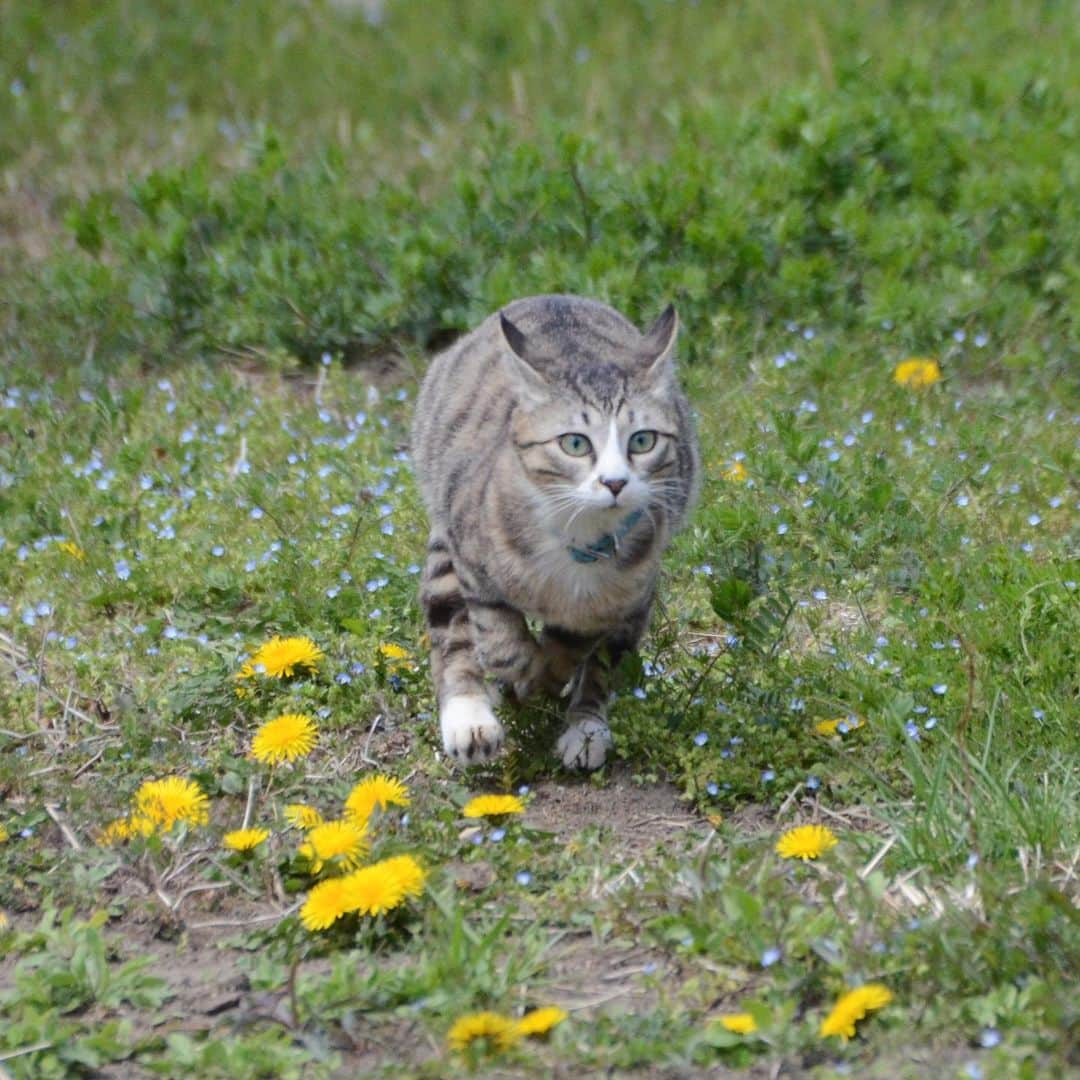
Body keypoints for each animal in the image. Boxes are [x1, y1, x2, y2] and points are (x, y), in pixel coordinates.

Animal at [410, 291, 699, 773]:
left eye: (642, 440)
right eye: (575, 443)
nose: (615, 482)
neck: (578, 537)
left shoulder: (623, 594)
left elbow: (578, 649)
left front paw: (552, 685)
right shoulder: (471, 552)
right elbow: (498, 636)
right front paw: (520, 675)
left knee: (607, 659)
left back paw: (585, 726)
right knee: (450, 621)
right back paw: (469, 717)